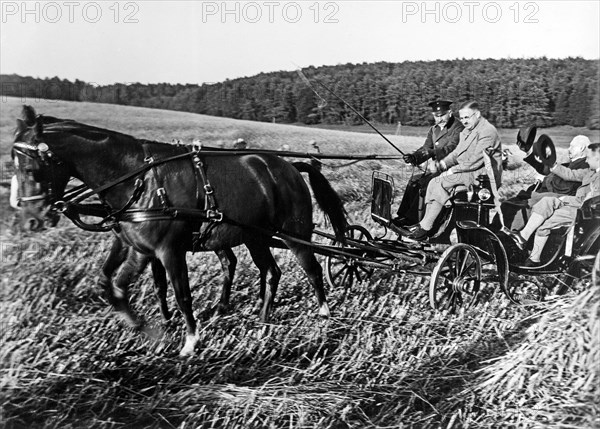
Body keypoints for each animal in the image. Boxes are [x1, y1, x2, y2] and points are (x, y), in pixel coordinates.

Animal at [12, 106, 346, 354]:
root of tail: (289, 166)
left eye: (30, 168)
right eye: (13, 166)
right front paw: (147, 328)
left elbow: (182, 294)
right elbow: (115, 285)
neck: (138, 180)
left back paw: (324, 314)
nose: (30, 220)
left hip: (294, 232)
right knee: (271, 272)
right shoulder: (135, 246)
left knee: (313, 268)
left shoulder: (168, 250)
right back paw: (263, 322)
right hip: (255, 236)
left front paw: (190, 341)